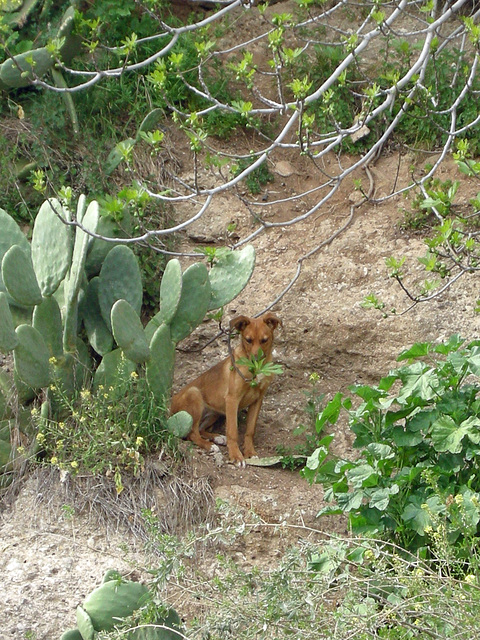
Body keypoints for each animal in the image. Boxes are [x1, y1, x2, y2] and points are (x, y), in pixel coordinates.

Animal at [171, 312, 282, 462]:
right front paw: (236, 456)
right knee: (192, 434)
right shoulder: (232, 399)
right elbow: (232, 431)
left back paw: (217, 438)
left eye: (265, 340)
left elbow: (250, 430)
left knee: (199, 429)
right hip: (194, 394)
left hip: (215, 413)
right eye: (248, 340)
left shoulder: (258, 399)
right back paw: (209, 445)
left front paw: (250, 452)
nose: (255, 360)